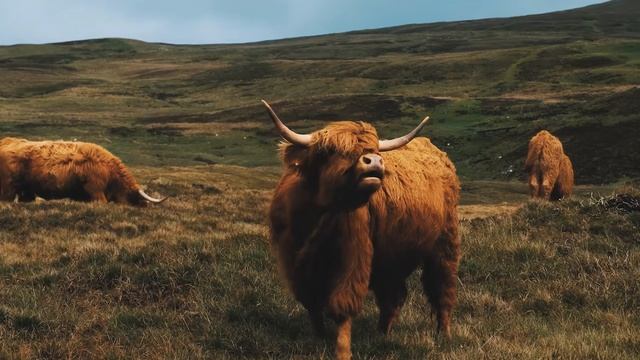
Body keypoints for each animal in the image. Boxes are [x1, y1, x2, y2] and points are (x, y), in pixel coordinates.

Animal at [0, 137, 168, 207]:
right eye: (134, 199)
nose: (144, 206)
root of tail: (6, 141)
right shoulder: (95, 190)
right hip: (8, 188)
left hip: (26, 191)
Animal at [262, 99, 462, 360]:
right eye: (332, 151)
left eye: (374, 150)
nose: (375, 161)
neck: (317, 215)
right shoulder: (295, 262)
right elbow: (312, 302)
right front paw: (319, 337)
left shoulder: (353, 256)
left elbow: (343, 305)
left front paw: (342, 351)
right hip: (391, 255)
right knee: (393, 296)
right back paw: (382, 333)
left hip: (444, 243)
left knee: (442, 287)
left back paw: (443, 334)